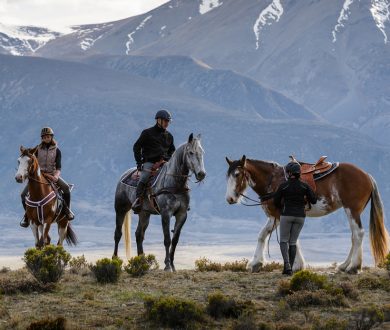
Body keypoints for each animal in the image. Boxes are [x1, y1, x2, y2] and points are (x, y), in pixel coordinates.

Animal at [113, 133, 207, 270]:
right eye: (190, 152)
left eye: (202, 152)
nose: (201, 174)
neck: (174, 183)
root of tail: (124, 175)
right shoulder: (165, 213)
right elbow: (167, 239)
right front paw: (167, 265)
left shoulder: (182, 214)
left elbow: (175, 240)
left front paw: (172, 265)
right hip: (120, 209)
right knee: (118, 234)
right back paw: (114, 260)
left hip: (144, 213)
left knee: (139, 235)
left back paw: (142, 261)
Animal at [224, 156, 388, 274]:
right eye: (228, 176)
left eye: (237, 174)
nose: (230, 199)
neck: (273, 180)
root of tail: (367, 176)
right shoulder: (276, 216)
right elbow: (263, 235)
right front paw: (256, 263)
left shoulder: (280, 215)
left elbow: (287, 238)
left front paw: (294, 266)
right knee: (354, 236)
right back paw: (344, 265)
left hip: (352, 210)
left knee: (358, 234)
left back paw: (354, 267)